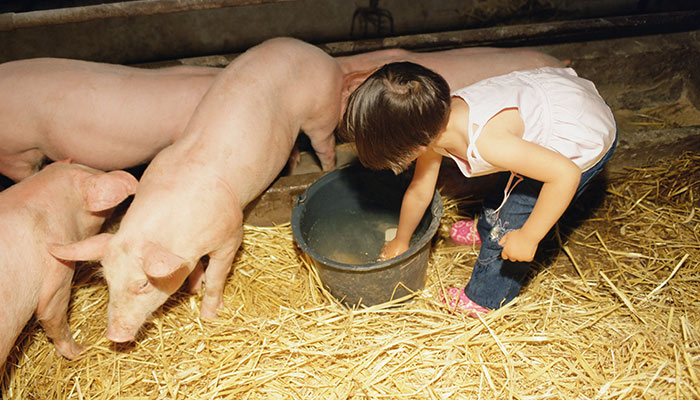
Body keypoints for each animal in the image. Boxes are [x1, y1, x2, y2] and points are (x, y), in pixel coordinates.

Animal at [47, 37, 344, 342]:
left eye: (143, 284)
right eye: (108, 280)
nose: (114, 336)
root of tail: (313, 50)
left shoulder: (231, 234)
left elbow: (216, 276)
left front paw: (209, 315)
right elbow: (194, 267)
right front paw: (192, 286)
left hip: (321, 114)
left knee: (325, 146)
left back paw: (324, 168)